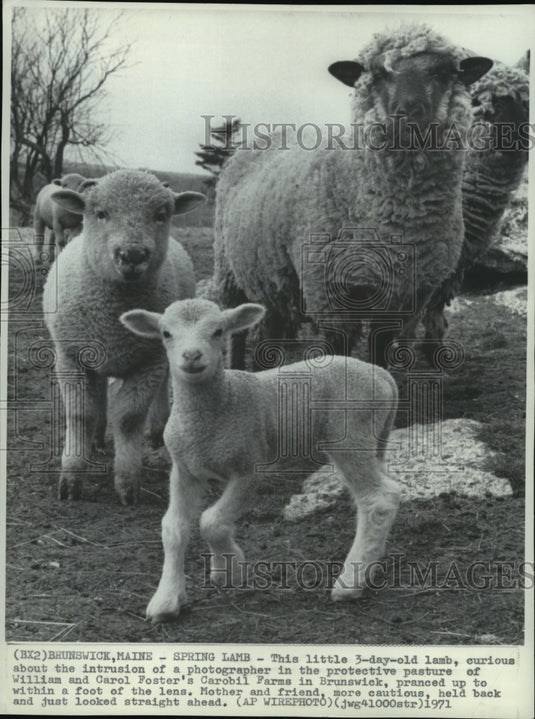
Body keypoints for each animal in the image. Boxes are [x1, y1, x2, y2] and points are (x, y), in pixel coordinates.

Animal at [42, 169, 206, 505]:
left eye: (161, 215)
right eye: (101, 213)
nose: (132, 255)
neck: (113, 315)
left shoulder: (149, 362)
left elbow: (130, 418)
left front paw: (128, 484)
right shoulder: (71, 357)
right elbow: (81, 413)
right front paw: (71, 478)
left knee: (161, 389)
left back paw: (157, 430)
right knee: (99, 395)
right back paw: (96, 439)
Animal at [120, 297, 400, 623]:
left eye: (218, 331)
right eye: (166, 333)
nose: (192, 356)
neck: (219, 406)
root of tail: (382, 375)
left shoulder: (250, 467)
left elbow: (211, 521)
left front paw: (230, 567)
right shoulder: (184, 470)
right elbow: (173, 529)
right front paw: (166, 599)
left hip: (350, 435)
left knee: (378, 499)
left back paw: (350, 582)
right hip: (374, 439)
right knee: (387, 491)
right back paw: (371, 564)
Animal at [213, 24, 493, 369]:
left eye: (443, 73)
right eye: (378, 74)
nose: (407, 114)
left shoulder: (408, 296)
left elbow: (380, 354)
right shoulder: (330, 294)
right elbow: (339, 352)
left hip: (271, 278)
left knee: (270, 328)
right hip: (229, 272)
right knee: (236, 332)